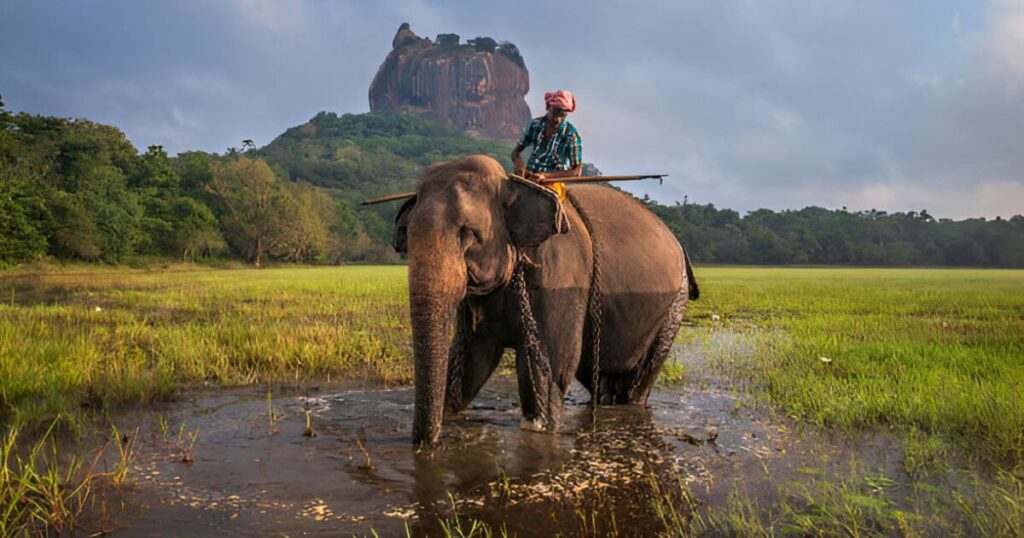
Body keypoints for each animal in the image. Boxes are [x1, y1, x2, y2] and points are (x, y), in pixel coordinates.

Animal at [395, 153, 700, 444]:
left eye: (468, 233)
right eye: (407, 235)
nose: (428, 445)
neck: (514, 185)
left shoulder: (560, 275)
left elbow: (549, 368)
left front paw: (541, 427)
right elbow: (473, 361)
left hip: (674, 304)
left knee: (636, 380)